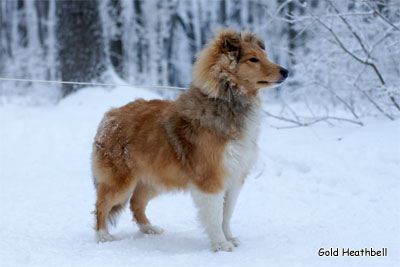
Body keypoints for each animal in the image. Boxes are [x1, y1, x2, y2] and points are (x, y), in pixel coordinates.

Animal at [91, 28, 288, 252]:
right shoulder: (211, 178)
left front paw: (229, 238)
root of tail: (109, 116)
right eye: (253, 59)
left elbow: (226, 215)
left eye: (265, 56)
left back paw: (149, 229)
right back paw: (102, 236)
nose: (286, 72)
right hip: (119, 182)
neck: (226, 101)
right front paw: (221, 244)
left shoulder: (235, 177)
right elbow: (214, 215)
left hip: (153, 180)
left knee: (136, 204)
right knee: (101, 205)